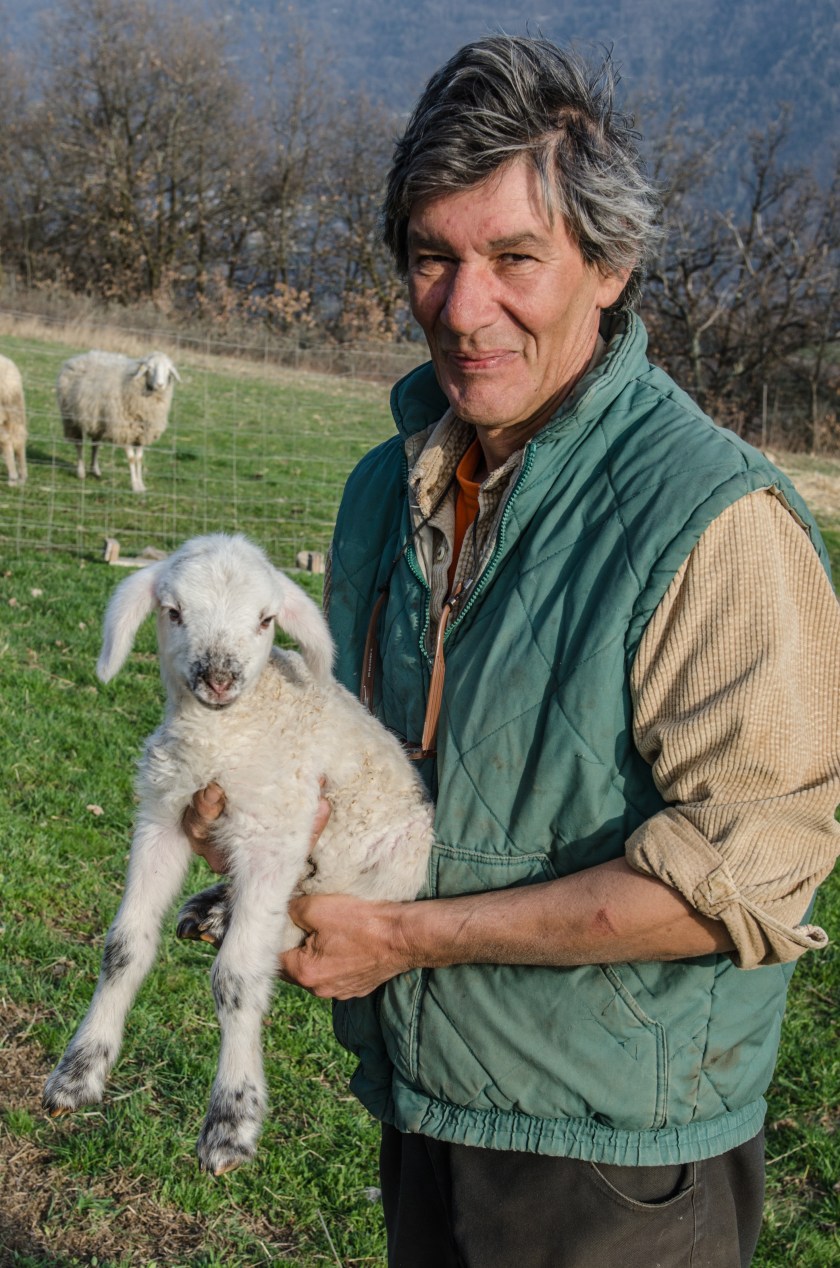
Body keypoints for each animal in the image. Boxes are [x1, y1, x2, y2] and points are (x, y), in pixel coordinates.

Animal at [43, 532, 434, 1176]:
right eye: (173, 612)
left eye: (266, 620)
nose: (220, 678)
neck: (222, 740)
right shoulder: (162, 816)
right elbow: (123, 949)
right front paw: (77, 1074)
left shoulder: (274, 833)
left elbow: (237, 977)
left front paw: (231, 1120)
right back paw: (212, 909)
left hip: (397, 858)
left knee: (311, 913)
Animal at [56, 350, 180, 493]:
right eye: (149, 368)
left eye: (168, 369)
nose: (160, 385)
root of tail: (77, 357)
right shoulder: (124, 429)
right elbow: (131, 459)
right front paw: (134, 485)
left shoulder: (142, 433)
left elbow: (139, 459)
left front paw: (141, 485)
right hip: (71, 418)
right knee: (79, 444)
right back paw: (81, 472)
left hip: (97, 421)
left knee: (95, 445)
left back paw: (95, 470)